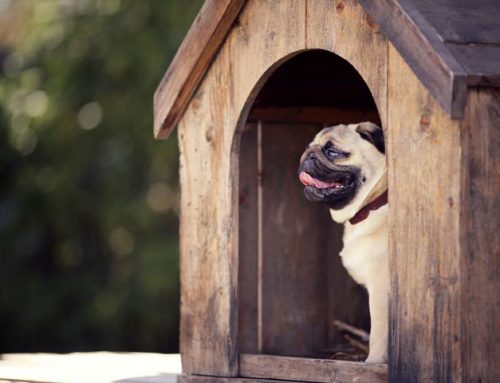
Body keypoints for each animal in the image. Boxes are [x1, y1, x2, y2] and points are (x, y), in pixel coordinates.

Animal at [298, 121, 388, 364]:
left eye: (333, 153)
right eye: (310, 147)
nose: (308, 155)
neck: (372, 204)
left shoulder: (380, 288)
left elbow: (379, 334)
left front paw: (373, 364)